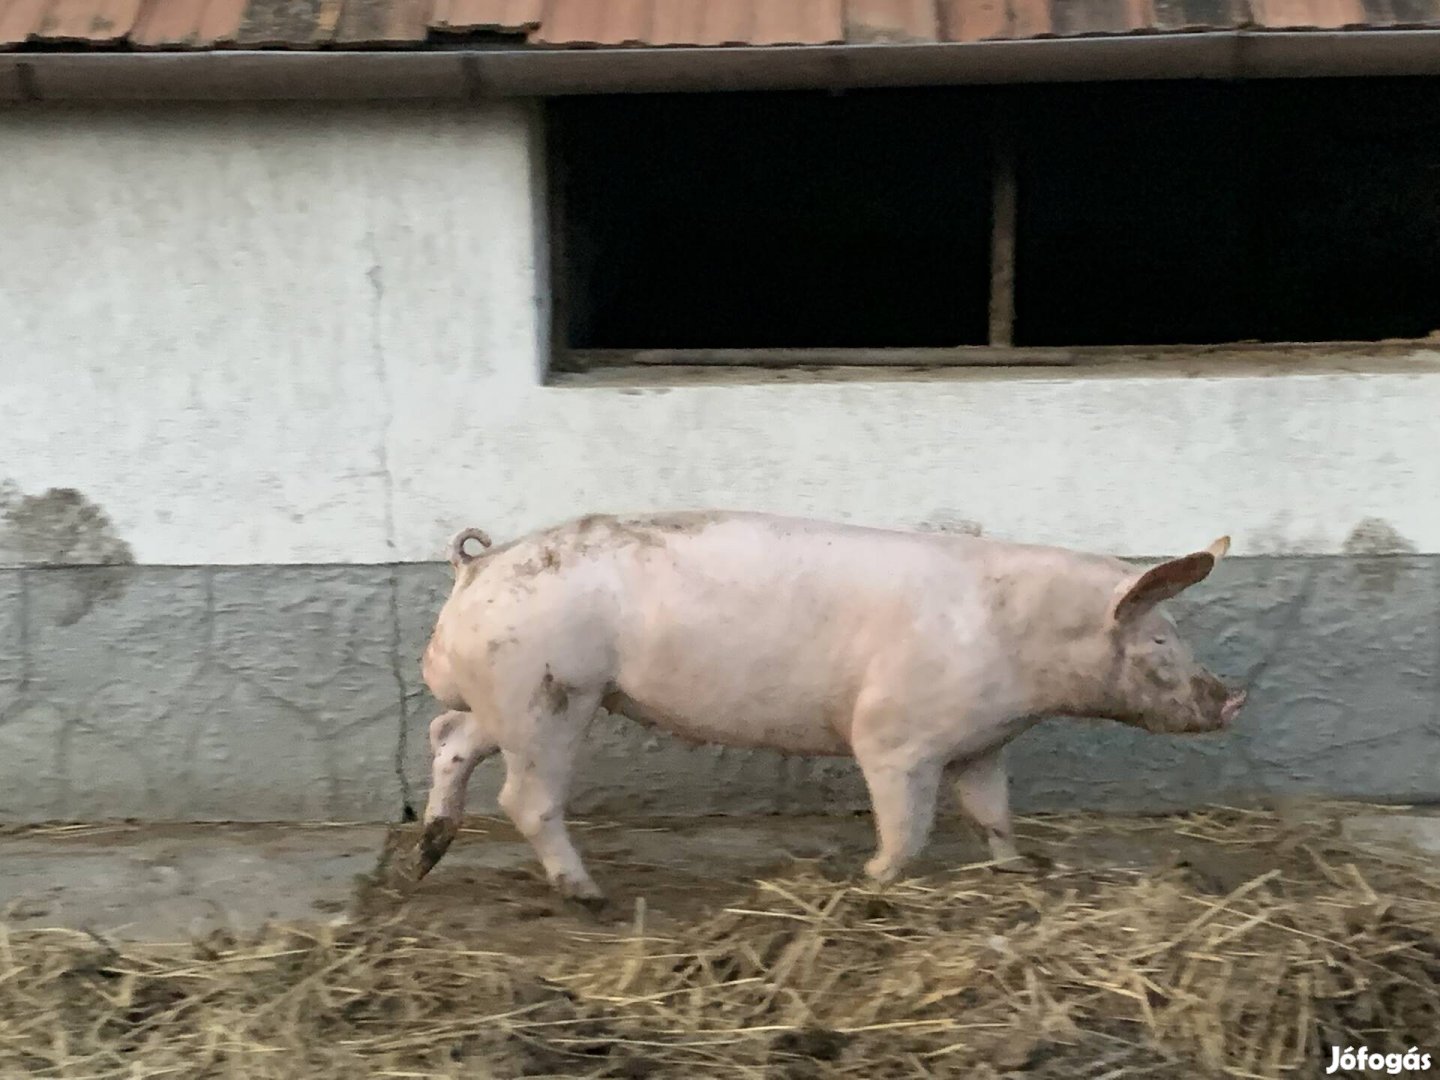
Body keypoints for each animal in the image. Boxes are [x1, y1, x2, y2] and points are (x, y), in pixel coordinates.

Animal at [411, 512, 1244, 898]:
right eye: (1162, 638)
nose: (1232, 700)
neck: (1027, 648)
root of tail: (476, 567)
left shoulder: (983, 741)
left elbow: (992, 812)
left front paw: (1015, 871)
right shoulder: (895, 737)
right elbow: (909, 826)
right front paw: (870, 880)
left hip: (509, 696)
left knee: (449, 732)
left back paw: (429, 856)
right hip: (550, 690)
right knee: (524, 796)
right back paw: (591, 896)